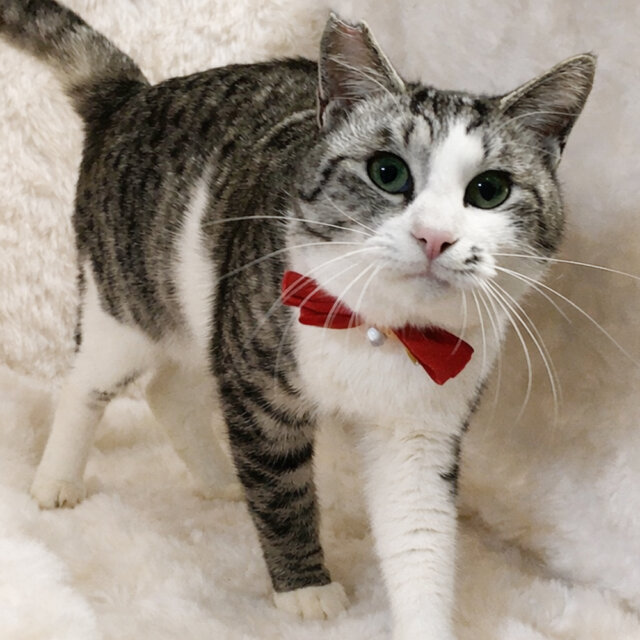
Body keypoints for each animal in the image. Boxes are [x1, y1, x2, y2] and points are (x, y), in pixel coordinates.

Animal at [0, 1, 595, 638]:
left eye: (489, 190)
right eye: (388, 172)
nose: (434, 236)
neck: (381, 331)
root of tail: (134, 95)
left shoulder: (420, 428)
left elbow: (420, 536)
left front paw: (423, 621)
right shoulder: (258, 390)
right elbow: (282, 495)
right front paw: (306, 588)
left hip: (202, 314)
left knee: (169, 387)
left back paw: (217, 478)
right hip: (127, 302)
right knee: (89, 383)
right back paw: (58, 479)